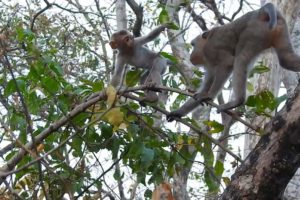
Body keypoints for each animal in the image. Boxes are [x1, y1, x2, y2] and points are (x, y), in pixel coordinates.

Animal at [168, 2, 300, 122]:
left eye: (193, 45)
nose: (191, 55)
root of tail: (260, 13)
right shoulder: (209, 64)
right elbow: (205, 87)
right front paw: (177, 112)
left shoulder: (212, 49)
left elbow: (227, 63)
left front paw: (209, 96)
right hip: (280, 28)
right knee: (286, 59)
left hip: (253, 32)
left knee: (240, 59)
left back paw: (237, 101)